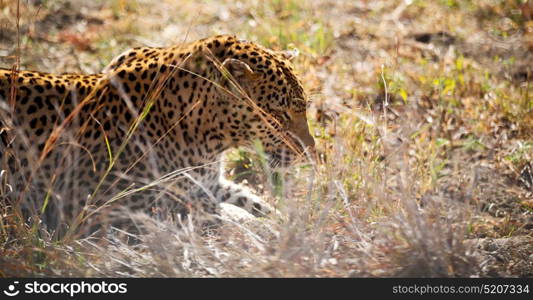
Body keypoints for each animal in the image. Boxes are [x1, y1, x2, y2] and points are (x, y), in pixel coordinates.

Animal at [0, 34, 314, 237]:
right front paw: (262, 228)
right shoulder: (123, 210)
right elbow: (217, 214)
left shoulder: (208, 183)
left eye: (304, 108)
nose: (308, 150)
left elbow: (248, 199)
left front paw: (283, 220)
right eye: (279, 114)